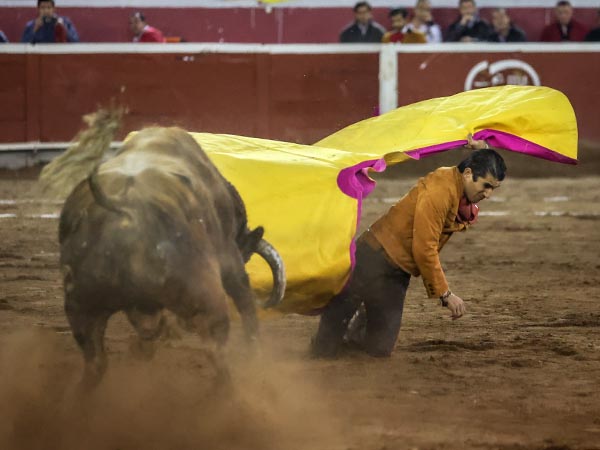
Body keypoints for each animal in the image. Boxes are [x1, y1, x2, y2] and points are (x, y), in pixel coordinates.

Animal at [39, 110, 286, 386]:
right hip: (207, 296)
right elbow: (245, 300)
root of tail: (126, 211)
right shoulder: (229, 256)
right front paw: (256, 356)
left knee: (96, 362)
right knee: (217, 349)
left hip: (81, 306)